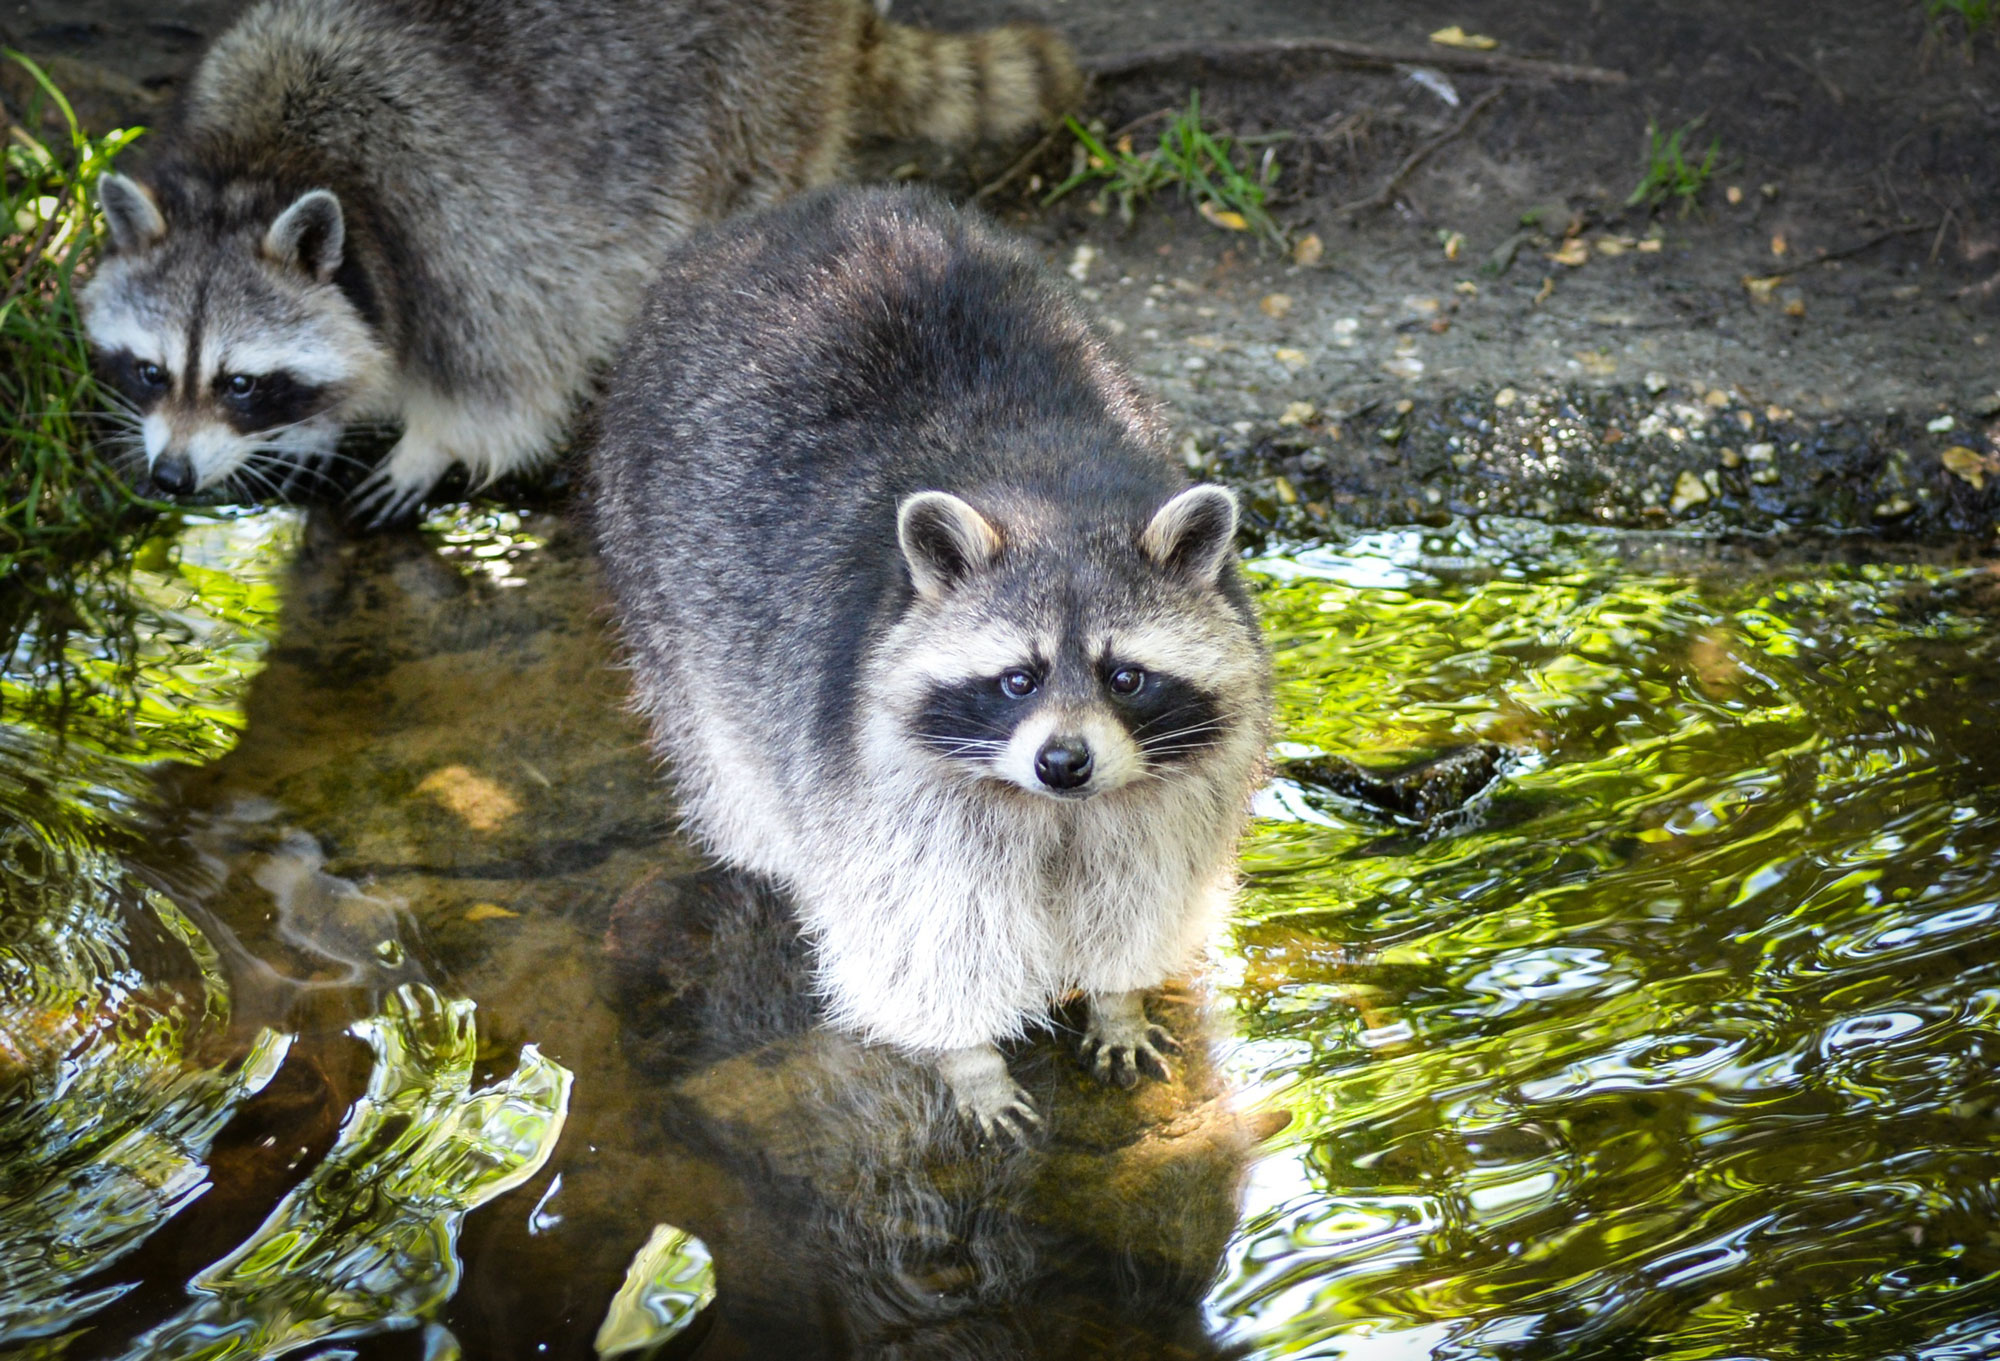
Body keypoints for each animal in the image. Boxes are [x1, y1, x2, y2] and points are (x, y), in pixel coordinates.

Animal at [82, 0, 1080, 520]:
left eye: (240, 382)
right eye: (149, 370)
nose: (169, 477)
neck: (261, 165)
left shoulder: (457, 222)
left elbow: (507, 380)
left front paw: (426, 444)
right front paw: (324, 422)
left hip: (760, 94)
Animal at [584, 183, 1272, 1136]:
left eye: (1124, 676)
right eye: (1018, 678)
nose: (1064, 763)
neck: (1052, 496)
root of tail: (795, 210)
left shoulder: (1179, 791)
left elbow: (1145, 887)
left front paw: (1118, 996)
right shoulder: (875, 774)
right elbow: (922, 931)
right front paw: (969, 1057)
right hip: (653, 566)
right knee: (734, 774)